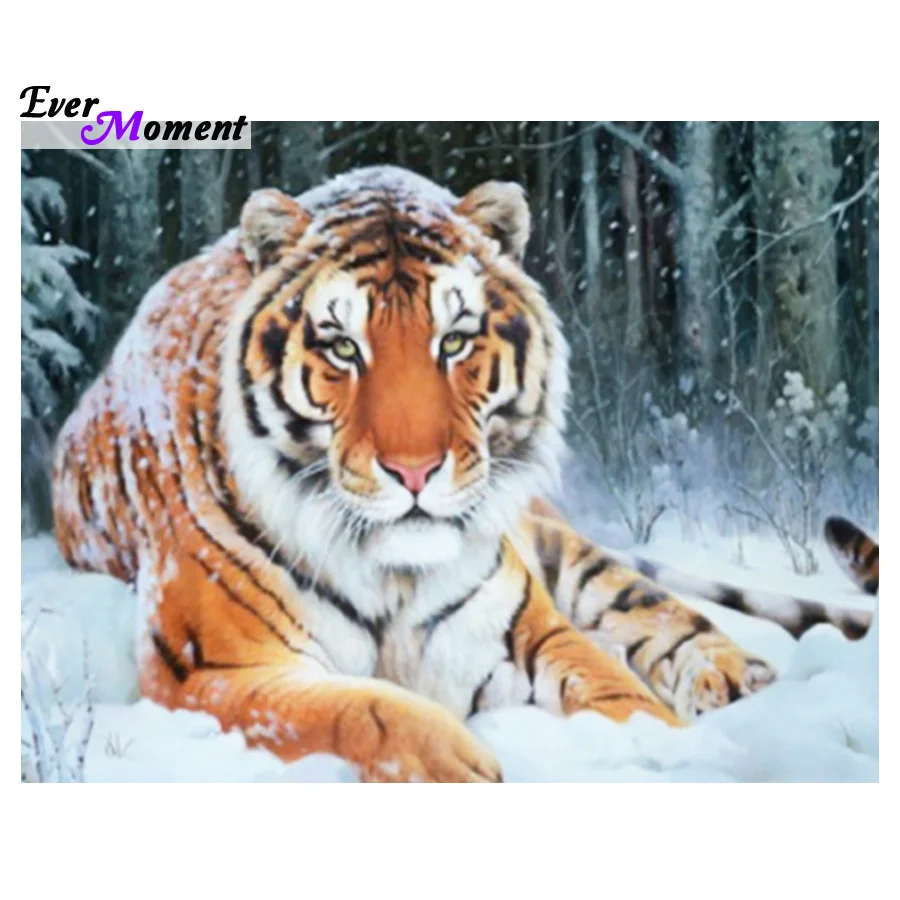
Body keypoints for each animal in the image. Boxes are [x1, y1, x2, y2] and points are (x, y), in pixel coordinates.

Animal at [54, 165, 781, 783]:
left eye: (453, 340)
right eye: (343, 348)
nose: (415, 471)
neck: (391, 576)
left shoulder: (525, 627)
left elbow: (615, 689)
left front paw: (675, 752)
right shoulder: (214, 668)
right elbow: (358, 711)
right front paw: (462, 766)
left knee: (652, 607)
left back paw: (739, 679)